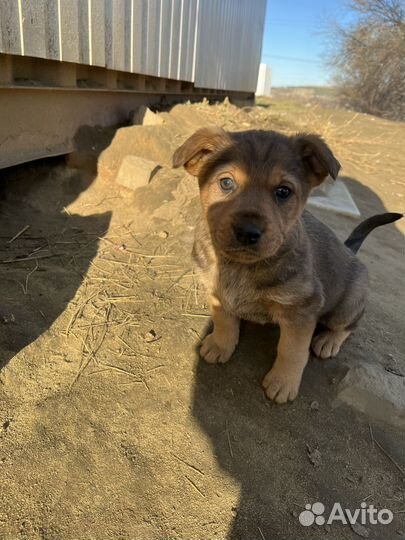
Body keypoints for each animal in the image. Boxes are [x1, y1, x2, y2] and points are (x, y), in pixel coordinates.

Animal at [172, 129, 400, 402]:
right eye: (226, 183)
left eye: (283, 191)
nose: (247, 232)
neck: (240, 267)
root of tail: (349, 250)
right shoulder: (216, 292)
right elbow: (224, 320)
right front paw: (219, 345)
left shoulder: (301, 310)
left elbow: (291, 350)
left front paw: (283, 383)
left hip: (348, 303)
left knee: (350, 324)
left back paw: (328, 341)